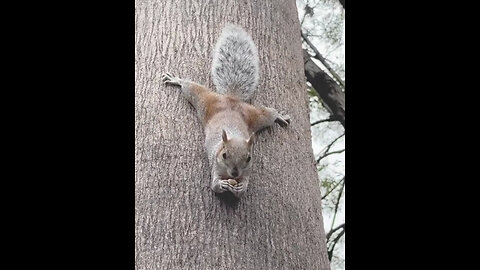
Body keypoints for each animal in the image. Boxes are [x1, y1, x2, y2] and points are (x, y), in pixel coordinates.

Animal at [161, 24, 290, 198]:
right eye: (224, 155)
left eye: (249, 158)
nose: (234, 173)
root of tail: (231, 100)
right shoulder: (215, 165)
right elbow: (214, 185)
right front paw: (222, 185)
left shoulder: (248, 171)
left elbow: (243, 188)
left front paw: (240, 188)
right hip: (204, 98)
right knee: (191, 87)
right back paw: (177, 80)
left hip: (257, 115)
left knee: (270, 114)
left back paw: (280, 116)